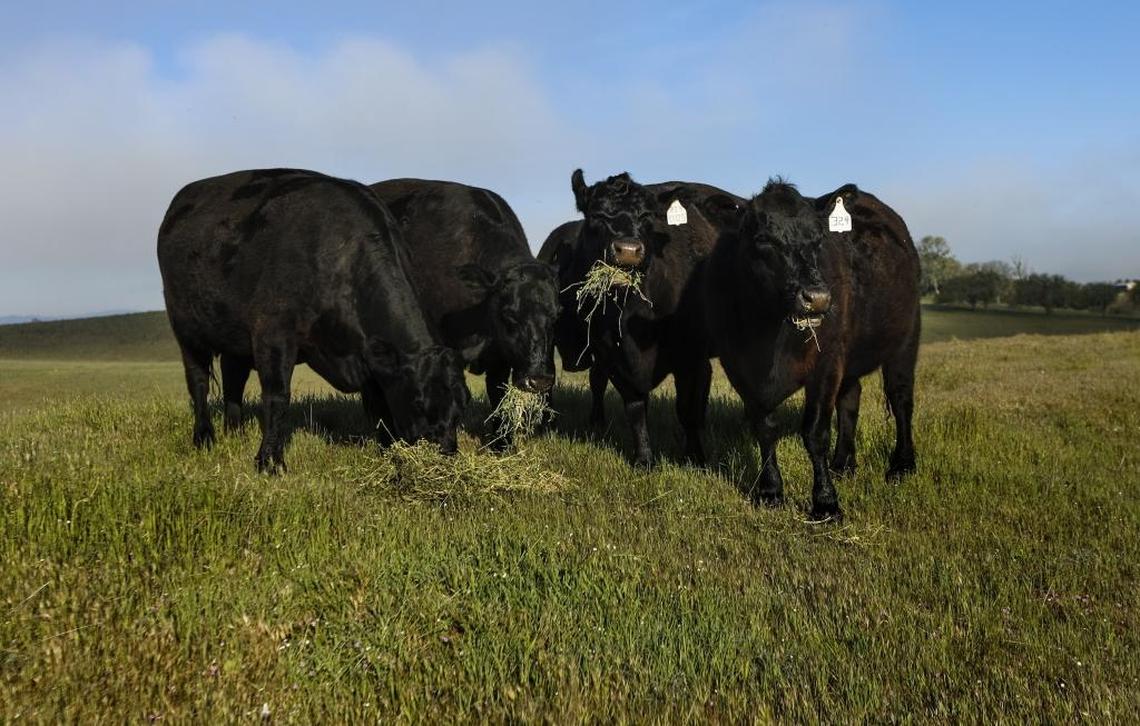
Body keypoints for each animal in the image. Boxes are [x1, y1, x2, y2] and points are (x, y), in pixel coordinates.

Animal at [157, 168, 470, 472]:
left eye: (461, 407)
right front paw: (270, 461)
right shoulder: (273, 334)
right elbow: (277, 397)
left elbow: (379, 406)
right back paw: (204, 437)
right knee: (198, 381)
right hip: (186, 329)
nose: (444, 455)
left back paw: (235, 432)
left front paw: (387, 453)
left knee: (234, 379)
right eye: (418, 402)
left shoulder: (369, 357)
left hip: (235, 338)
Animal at [368, 179, 559, 448]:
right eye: (509, 316)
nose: (539, 379)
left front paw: (502, 444)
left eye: (556, 316)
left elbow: (498, 396)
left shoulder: (499, 355)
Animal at [563, 169, 745, 466]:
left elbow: (686, 408)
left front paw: (695, 457)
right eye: (596, 215)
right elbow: (636, 407)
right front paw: (644, 458)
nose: (628, 249)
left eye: (647, 217)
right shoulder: (610, 355)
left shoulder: (688, 353)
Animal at [703, 179, 921, 519]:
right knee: (850, 400)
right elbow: (764, 428)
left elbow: (815, 433)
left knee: (901, 400)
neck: (767, 332)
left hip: (905, 340)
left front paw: (826, 502)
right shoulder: (738, 368)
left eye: (818, 240)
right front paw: (770, 491)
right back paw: (843, 463)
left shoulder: (826, 363)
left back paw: (901, 465)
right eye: (762, 238)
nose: (816, 298)